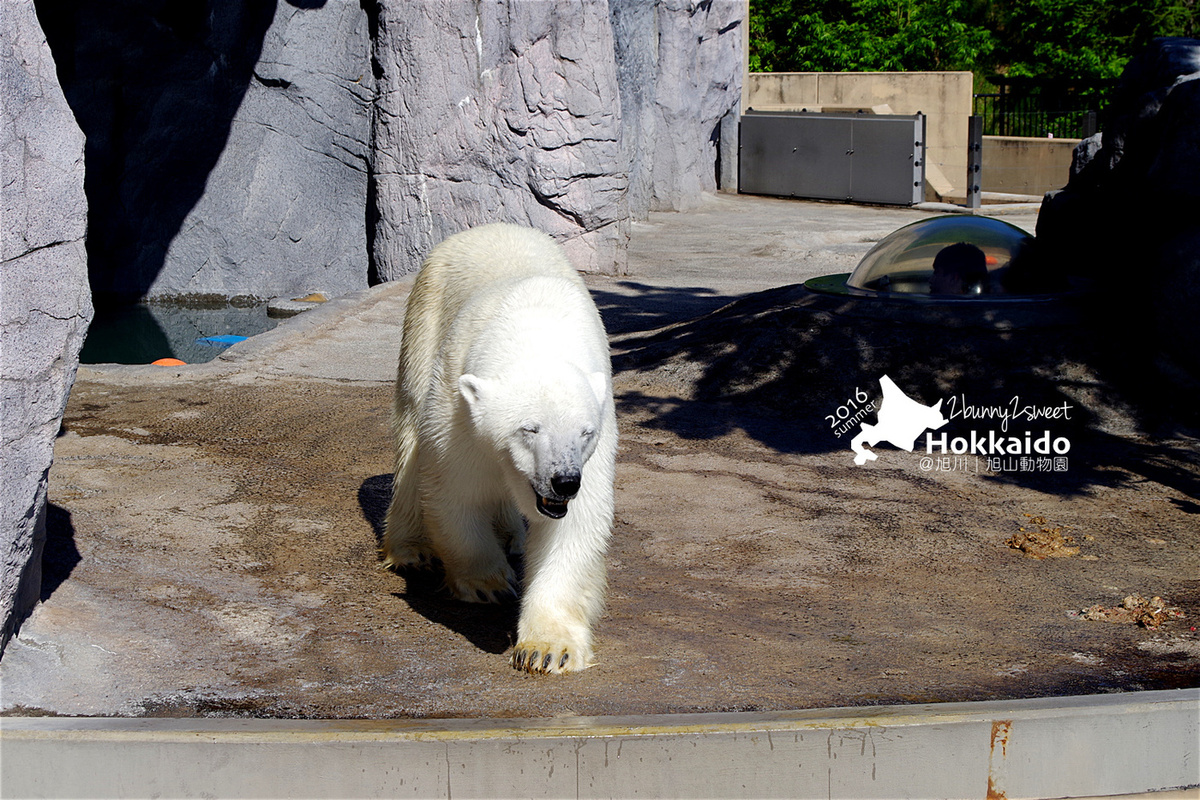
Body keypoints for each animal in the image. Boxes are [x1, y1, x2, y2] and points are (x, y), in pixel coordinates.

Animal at [382, 223, 617, 675]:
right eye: (529, 428)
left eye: (584, 433)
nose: (564, 482)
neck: (536, 329)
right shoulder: (457, 406)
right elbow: (455, 489)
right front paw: (487, 582)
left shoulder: (598, 436)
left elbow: (575, 526)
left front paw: (547, 649)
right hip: (425, 314)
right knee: (410, 432)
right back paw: (409, 548)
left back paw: (512, 535)